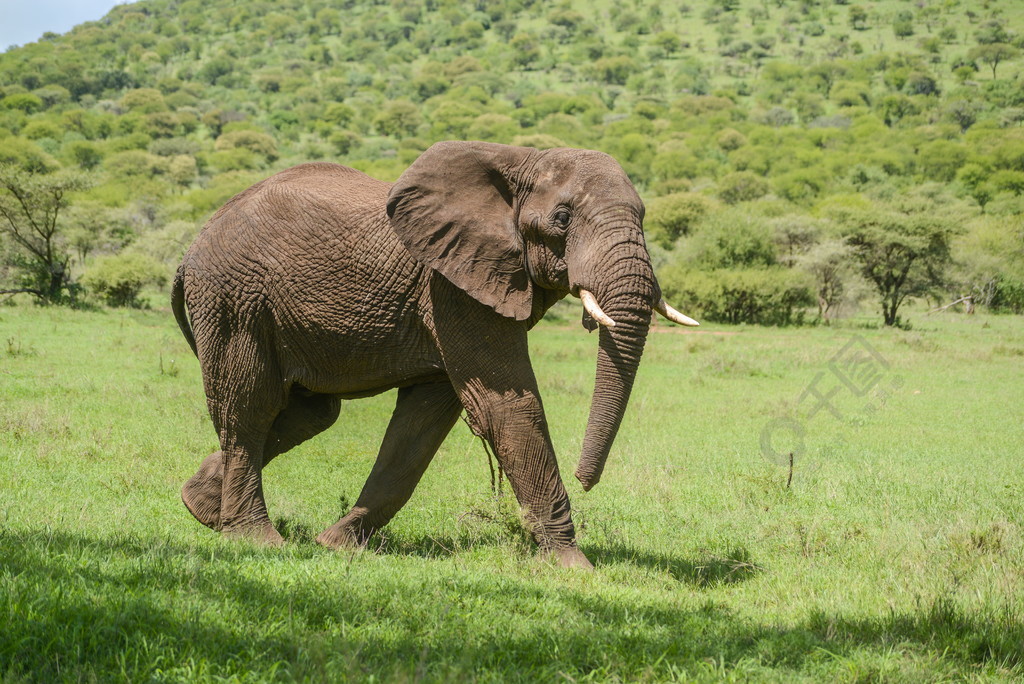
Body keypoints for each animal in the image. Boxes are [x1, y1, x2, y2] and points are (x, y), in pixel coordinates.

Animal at [172, 139, 696, 565]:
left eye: (645, 217)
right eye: (563, 218)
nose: (587, 480)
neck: (522, 160)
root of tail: (192, 246)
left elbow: (420, 425)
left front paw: (336, 545)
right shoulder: (452, 286)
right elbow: (507, 405)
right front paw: (572, 567)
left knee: (307, 413)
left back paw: (201, 508)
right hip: (234, 300)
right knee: (250, 409)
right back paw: (254, 539)